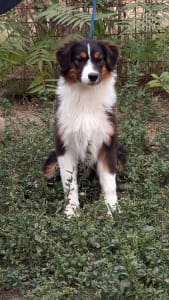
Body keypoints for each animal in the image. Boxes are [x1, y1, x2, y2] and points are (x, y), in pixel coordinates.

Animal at [42, 39, 127, 218]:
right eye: (78, 59)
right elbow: (69, 184)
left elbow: (110, 181)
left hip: (121, 153)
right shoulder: (64, 146)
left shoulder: (107, 143)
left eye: (100, 59)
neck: (86, 96)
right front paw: (72, 210)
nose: (93, 76)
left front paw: (113, 209)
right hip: (52, 160)